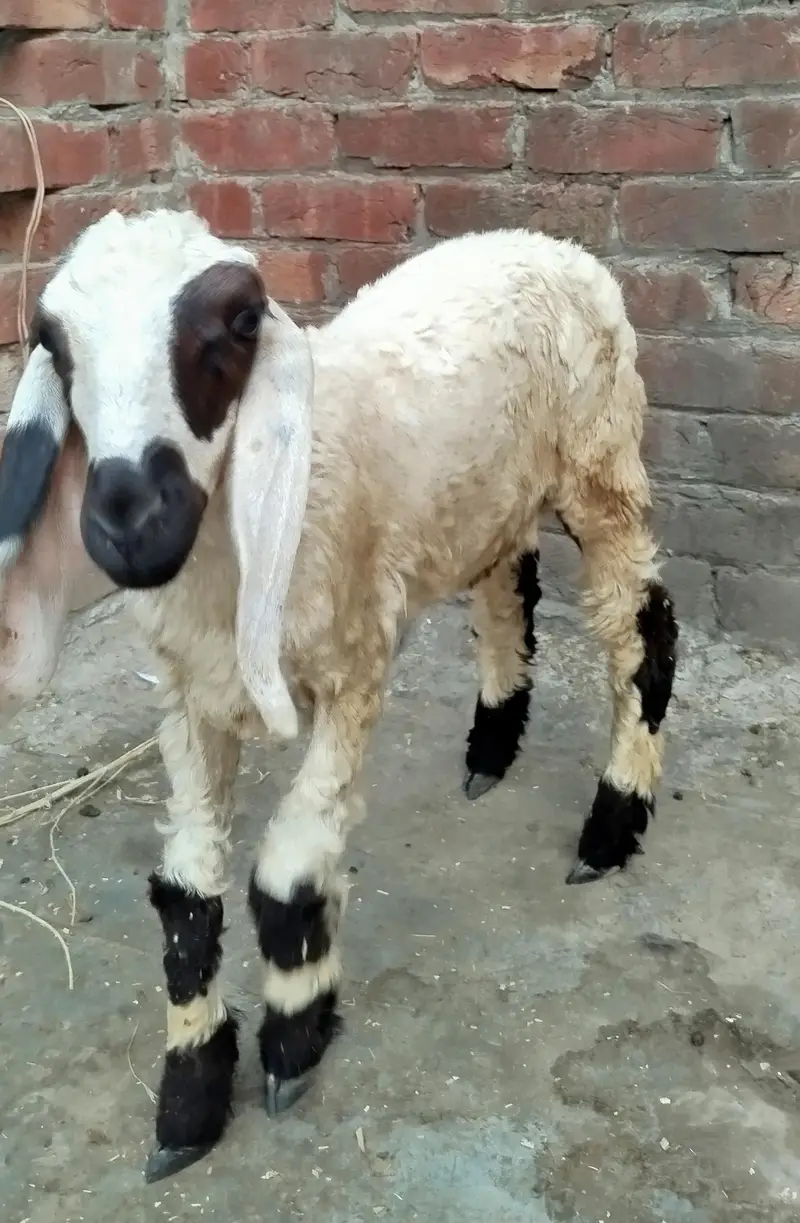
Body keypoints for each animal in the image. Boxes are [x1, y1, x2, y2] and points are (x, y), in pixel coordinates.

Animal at [0, 207, 678, 1182]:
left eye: (240, 323)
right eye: (52, 343)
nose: (129, 523)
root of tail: (547, 242)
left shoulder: (354, 669)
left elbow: (287, 878)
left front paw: (295, 1037)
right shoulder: (186, 700)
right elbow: (186, 900)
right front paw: (190, 1096)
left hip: (600, 462)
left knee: (642, 629)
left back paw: (614, 818)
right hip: (487, 495)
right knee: (507, 587)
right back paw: (490, 746)